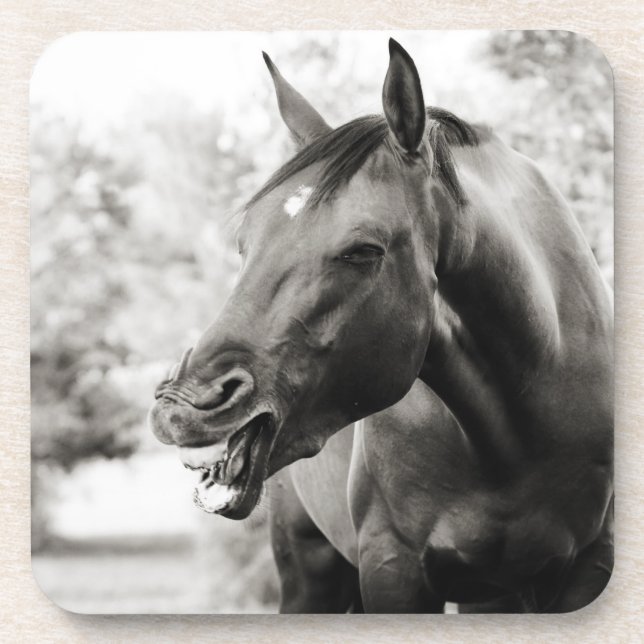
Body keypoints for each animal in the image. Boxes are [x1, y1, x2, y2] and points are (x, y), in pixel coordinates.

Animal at [149, 39, 614, 613]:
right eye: (244, 244)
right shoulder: (393, 568)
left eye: (363, 251)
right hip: (311, 574)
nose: (182, 408)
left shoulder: (587, 572)